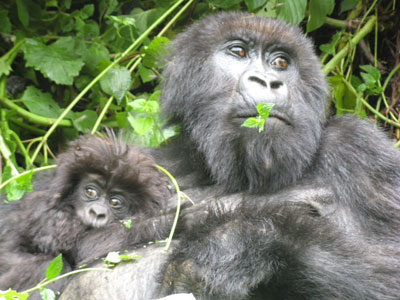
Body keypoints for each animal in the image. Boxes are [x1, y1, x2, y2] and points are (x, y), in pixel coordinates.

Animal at [0, 134, 170, 296]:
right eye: (90, 192)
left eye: (115, 202)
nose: (97, 213)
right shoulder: (47, 212)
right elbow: (84, 247)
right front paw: (166, 221)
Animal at [60, 10, 400, 298]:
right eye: (238, 52)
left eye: (281, 63)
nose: (268, 81)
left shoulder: (358, 149)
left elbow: (390, 271)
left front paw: (233, 246)